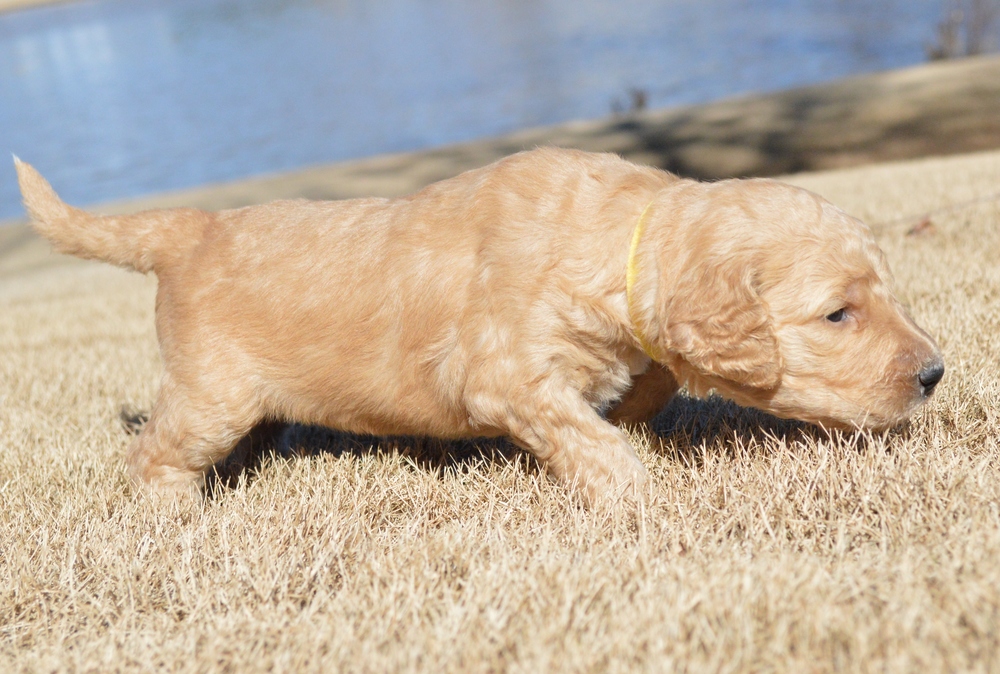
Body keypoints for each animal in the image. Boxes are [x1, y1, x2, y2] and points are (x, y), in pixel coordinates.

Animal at [15, 148, 940, 504]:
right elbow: (584, 431)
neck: (616, 236)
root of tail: (189, 228)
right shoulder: (504, 371)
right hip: (211, 392)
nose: (933, 374)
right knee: (155, 451)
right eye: (838, 313)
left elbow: (645, 383)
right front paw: (633, 489)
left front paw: (639, 422)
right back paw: (175, 505)